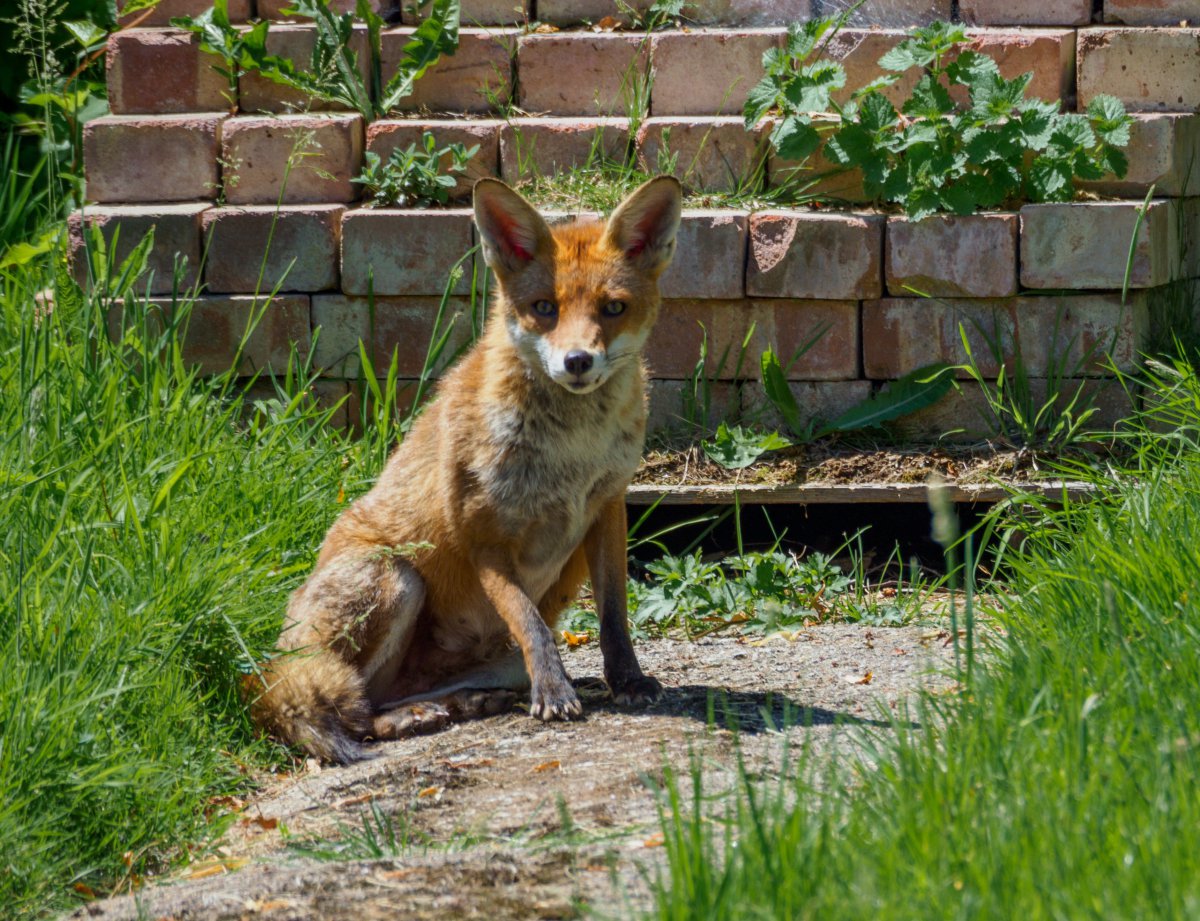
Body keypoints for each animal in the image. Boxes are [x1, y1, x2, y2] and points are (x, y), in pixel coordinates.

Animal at [248, 172, 681, 762]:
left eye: (613, 309)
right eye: (544, 307)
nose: (576, 361)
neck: (573, 451)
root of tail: (271, 666)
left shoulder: (608, 508)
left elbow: (614, 616)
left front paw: (628, 681)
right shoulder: (484, 532)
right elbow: (529, 620)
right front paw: (554, 693)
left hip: (492, 660)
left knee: (394, 693)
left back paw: (465, 703)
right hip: (395, 578)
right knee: (356, 702)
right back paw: (406, 720)